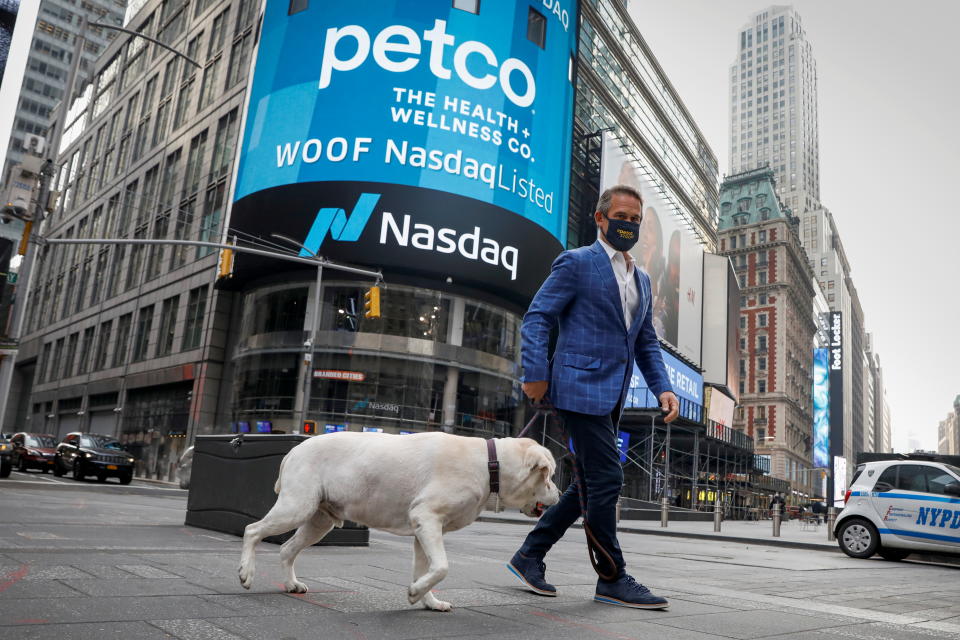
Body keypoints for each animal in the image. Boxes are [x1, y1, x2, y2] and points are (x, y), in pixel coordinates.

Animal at [235, 430, 560, 608]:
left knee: (287, 549)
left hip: (319, 521)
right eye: (550, 476)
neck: (491, 464)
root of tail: (294, 449)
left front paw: (427, 601)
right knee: (252, 530)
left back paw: (291, 584)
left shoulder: (424, 531)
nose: (559, 492)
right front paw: (416, 593)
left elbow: (426, 570)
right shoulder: (426, 517)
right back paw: (246, 573)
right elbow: (442, 567)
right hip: (296, 506)